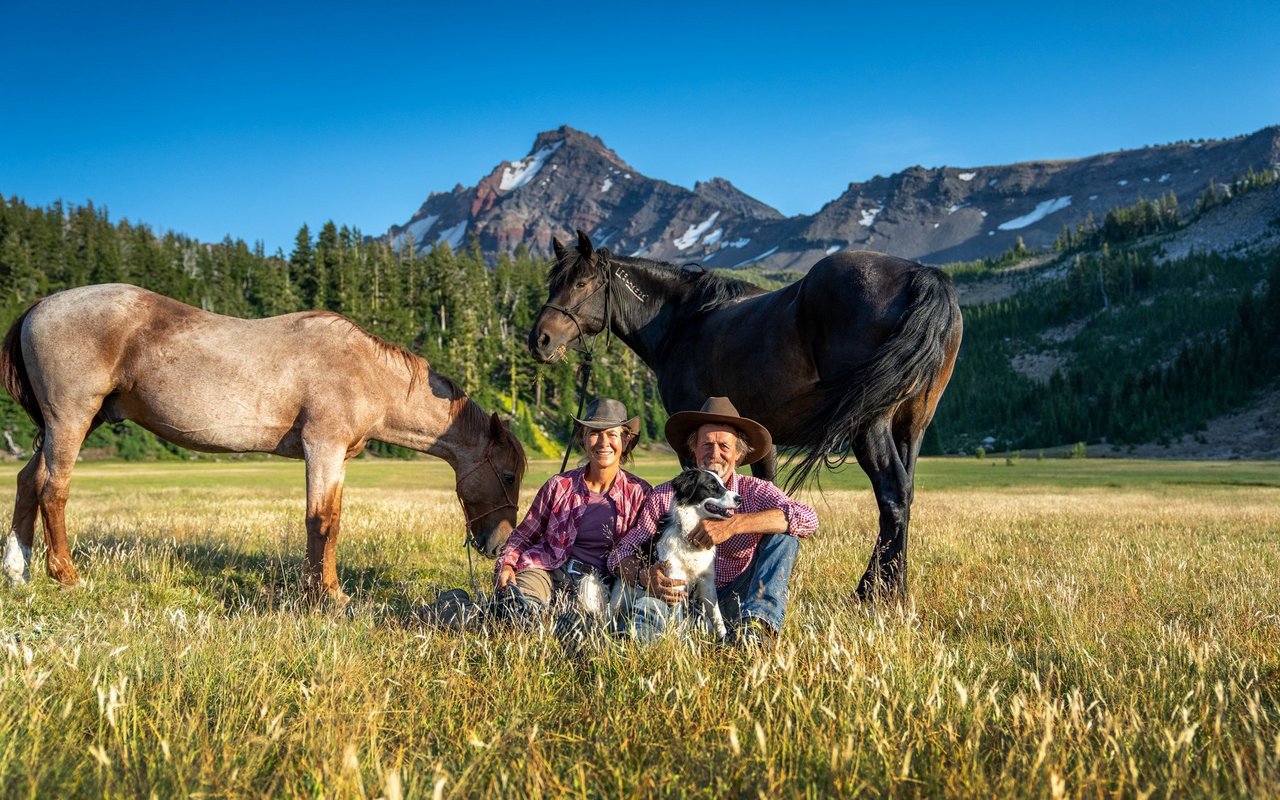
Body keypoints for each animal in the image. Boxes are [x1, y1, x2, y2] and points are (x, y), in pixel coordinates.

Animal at [2, 284, 524, 601]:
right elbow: (322, 520)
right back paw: (66, 576)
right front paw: (326, 595)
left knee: (29, 481)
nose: (499, 544)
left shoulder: (337, 457)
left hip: (73, 424)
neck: (362, 372)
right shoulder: (322, 447)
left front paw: (323, 589)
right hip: (71, 418)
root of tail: (40, 306)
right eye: (509, 474)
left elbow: (330, 521)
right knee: (53, 490)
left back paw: (18, 570)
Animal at [527, 230, 962, 599]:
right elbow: (768, 494)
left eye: (581, 283)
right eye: (553, 283)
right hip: (912, 427)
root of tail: (919, 275)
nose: (539, 340)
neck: (682, 323)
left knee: (891, 495)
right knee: (905, 494)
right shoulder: (763, 440)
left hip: (870, 425)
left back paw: (875, 594)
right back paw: (894, 590)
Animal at [609, 468, 742, 637]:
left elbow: (716, 613)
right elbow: (678, 619)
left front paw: (723, 636)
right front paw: (680, 639)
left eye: (723, 484)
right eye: (712, 486)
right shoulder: (674, 582)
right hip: (619, 600)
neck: (689, 536)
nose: (739, 498)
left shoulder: (707, 581)